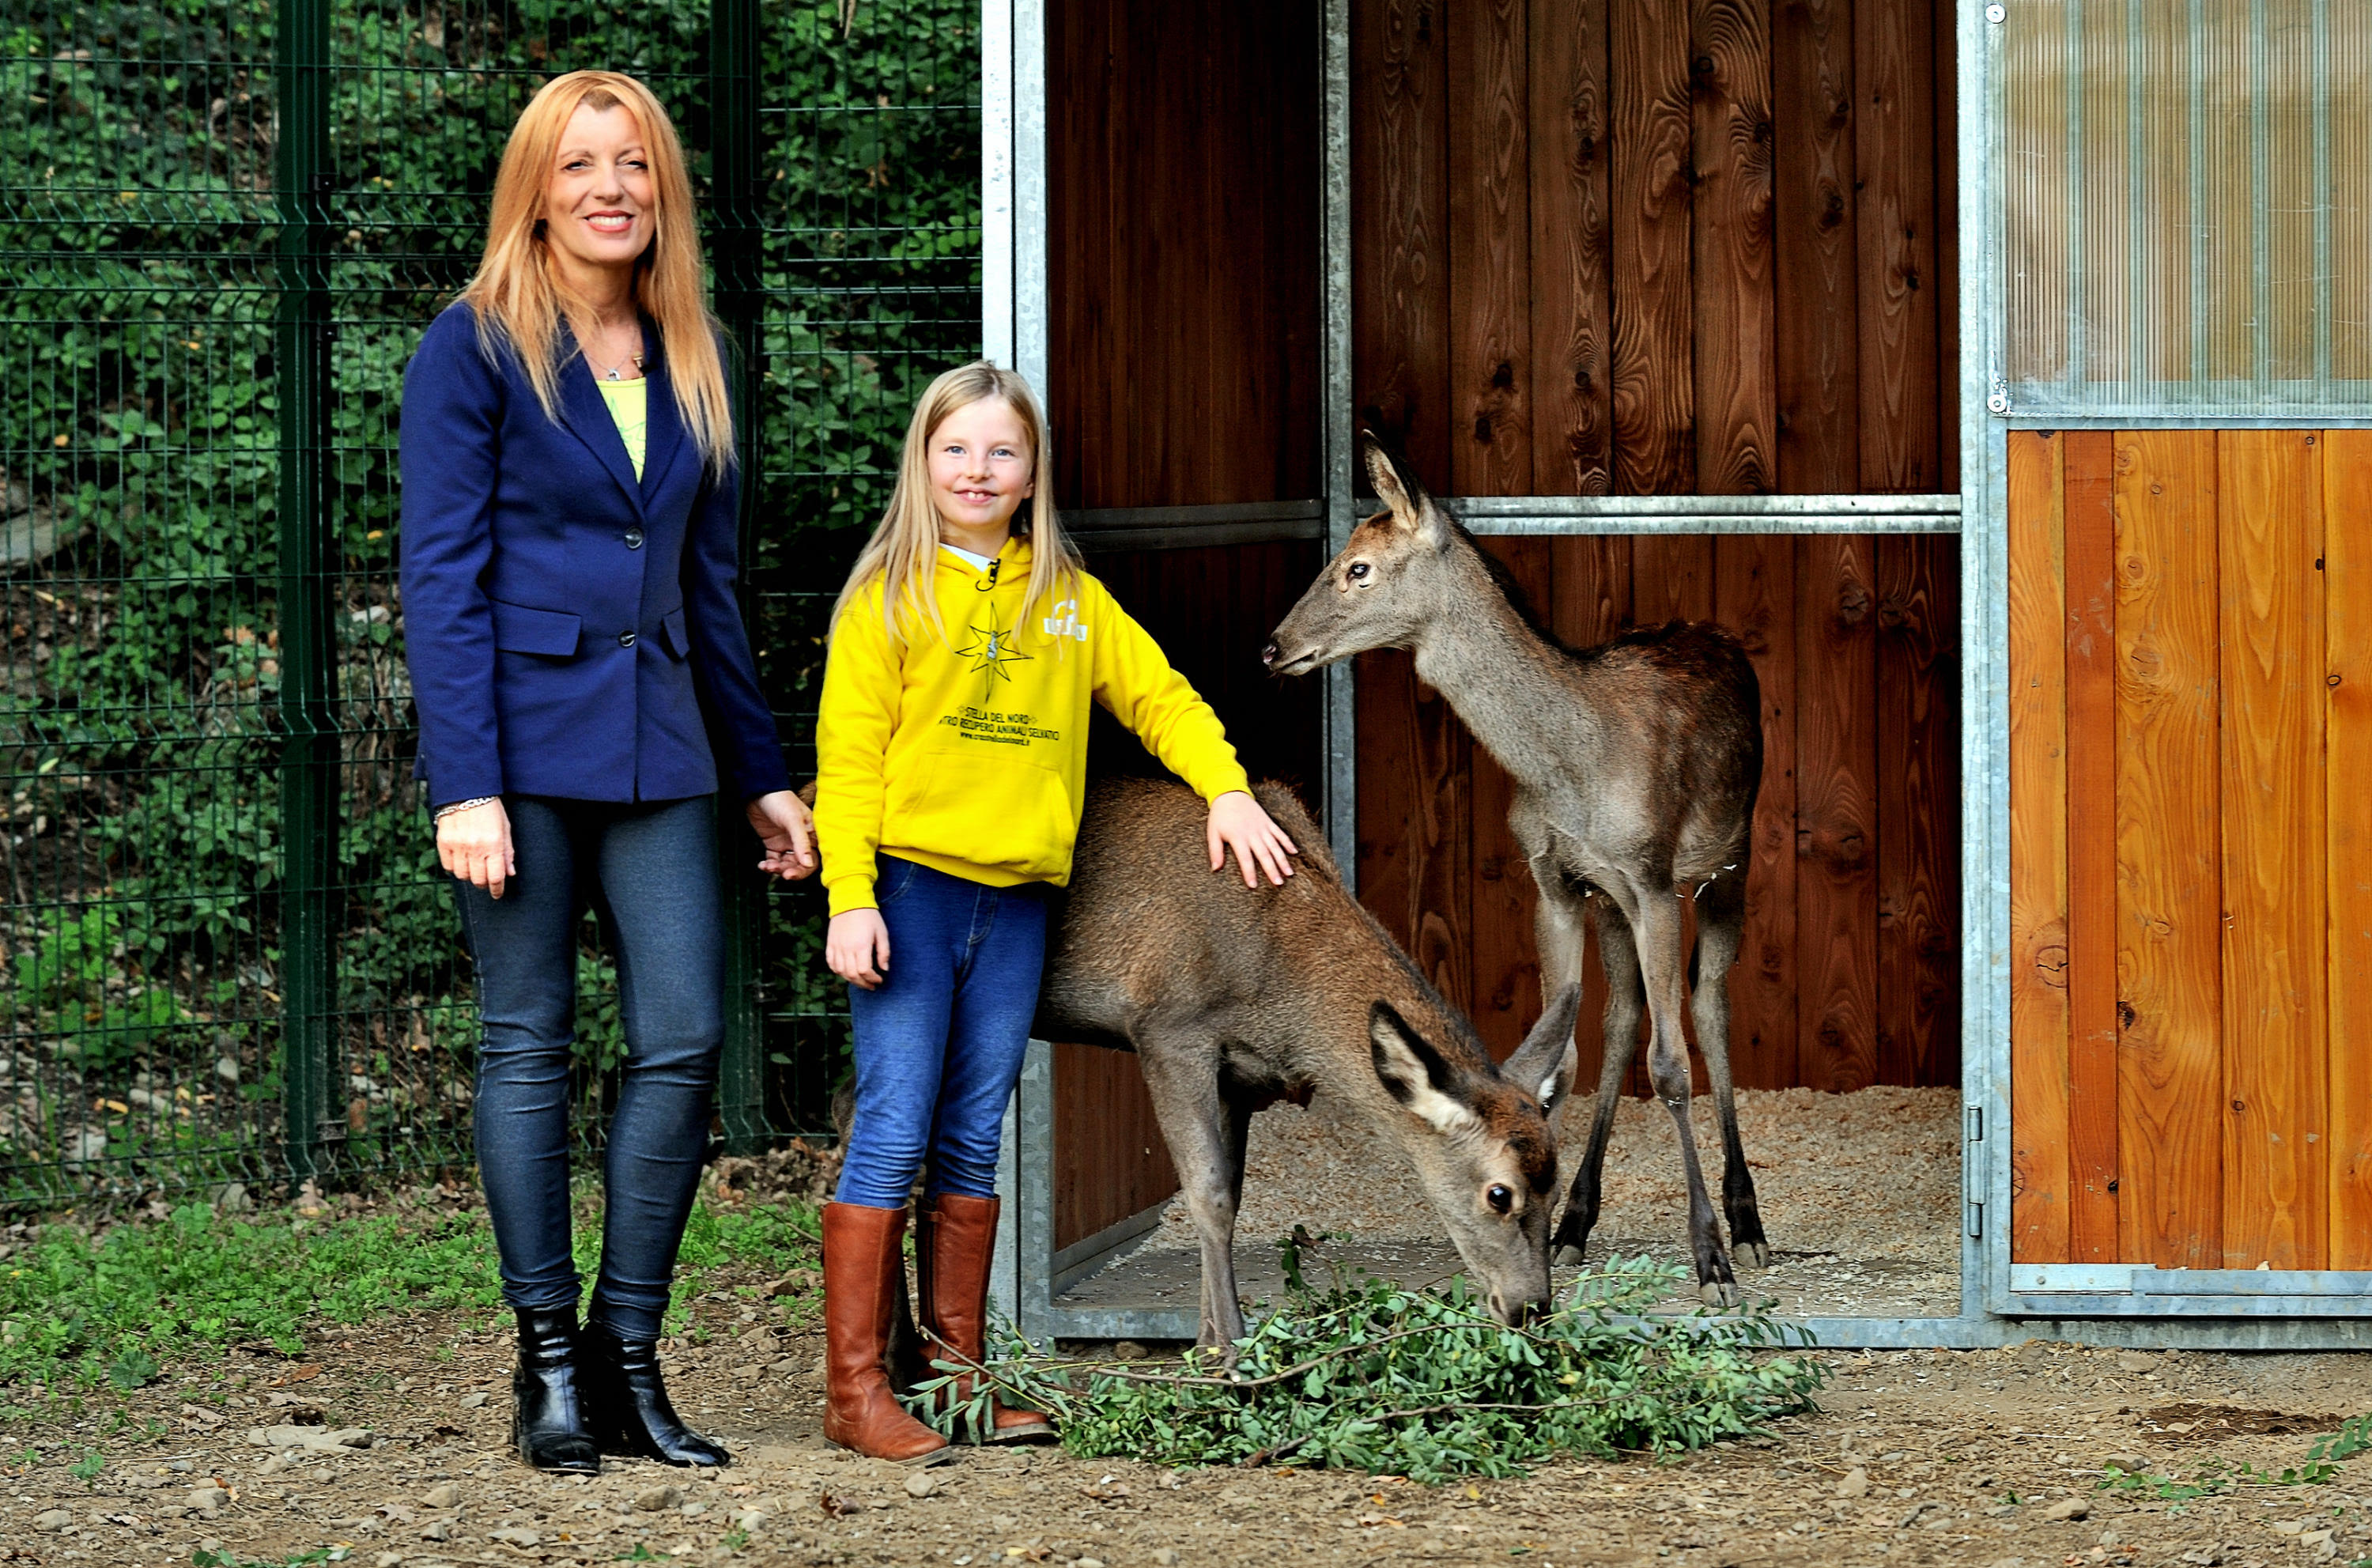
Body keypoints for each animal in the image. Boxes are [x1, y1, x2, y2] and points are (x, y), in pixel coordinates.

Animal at [1260, 437, 1770, 1306]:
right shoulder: (1555, 881)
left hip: (1730, 858)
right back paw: (1582, 1219)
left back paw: (1747, 1221)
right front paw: (1545, 1225)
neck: (1571, 770)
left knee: (1708, 1006)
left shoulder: (1653, 877)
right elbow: (1561, 1057)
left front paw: (1711, 1262)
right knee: (1623, 1014)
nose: (1273, 646)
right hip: (1610, 903)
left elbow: (1671, 1067)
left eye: (1358, 567)